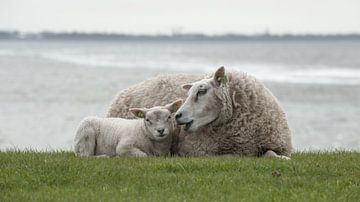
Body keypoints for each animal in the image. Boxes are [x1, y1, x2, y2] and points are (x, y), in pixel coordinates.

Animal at [107, 67, 292, 159]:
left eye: (201, 91)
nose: (177, 116)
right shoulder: (198, 151)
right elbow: (231, 157)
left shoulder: (278, 146)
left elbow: (271, 154)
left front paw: (281, 159)